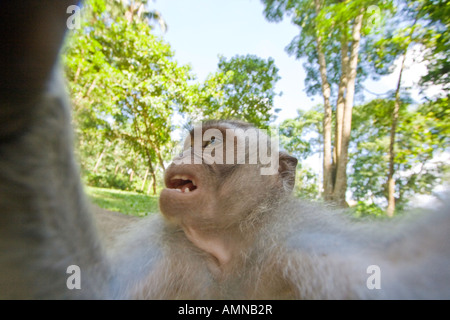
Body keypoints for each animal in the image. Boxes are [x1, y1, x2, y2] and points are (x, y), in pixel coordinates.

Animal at [0, 0, 450, 300]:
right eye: (189, 140)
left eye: (213, 142)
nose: (182, 155)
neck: (228, 244)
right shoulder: (171, 247)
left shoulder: (296, 241)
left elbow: (405, 273)